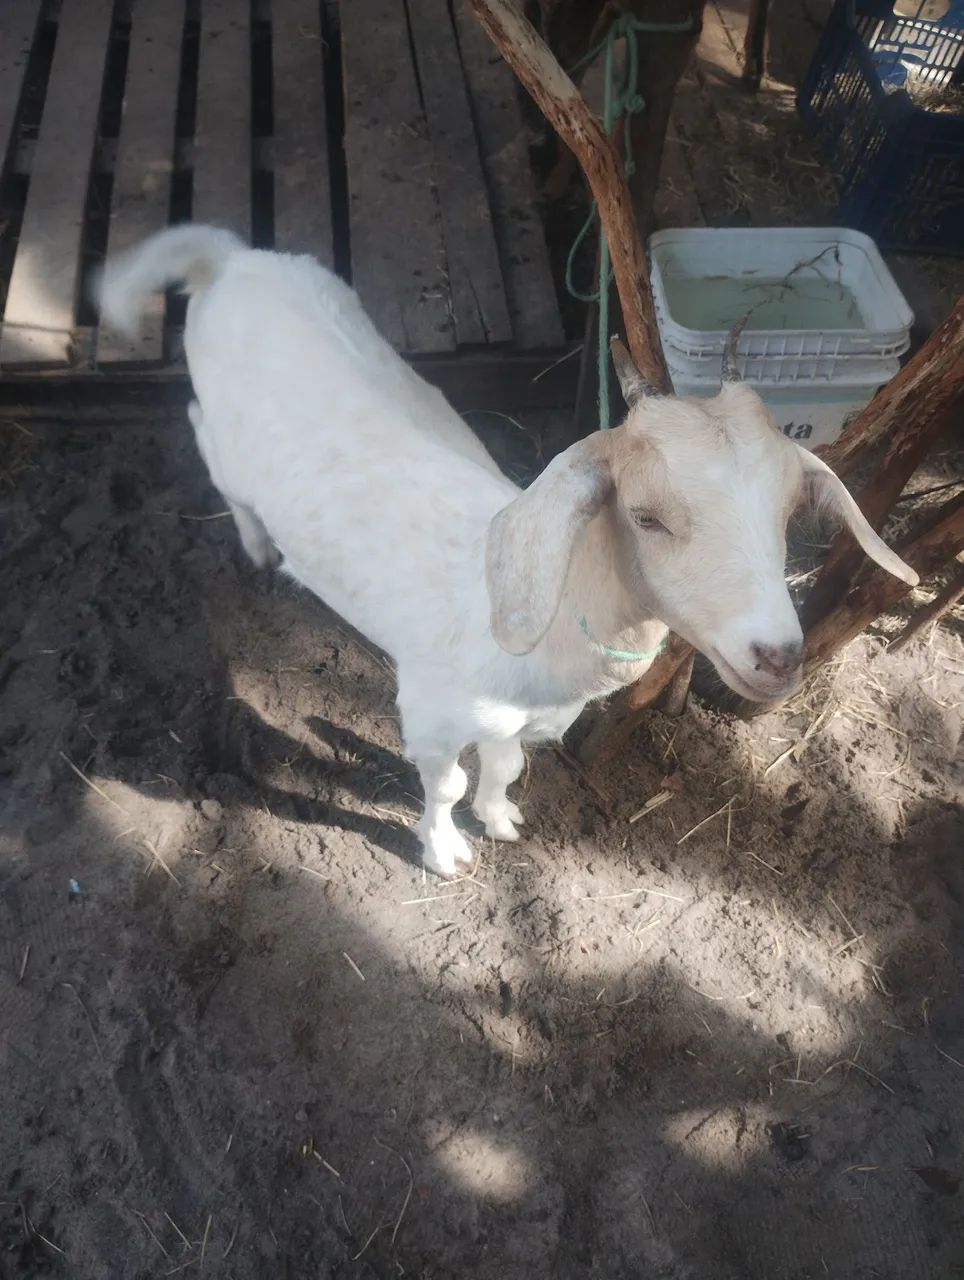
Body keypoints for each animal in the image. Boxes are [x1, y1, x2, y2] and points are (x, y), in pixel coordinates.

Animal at [96, 225, 917, 876]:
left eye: (787, 511)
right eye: (646, 516)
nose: (778, 656)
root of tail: (233, 261)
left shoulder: (516, 722)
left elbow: (507, 767)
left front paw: (500, 821)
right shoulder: (429, 711)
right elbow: (445, 785)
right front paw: (445, 851)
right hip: (224, 437)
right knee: (201, 431)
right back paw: (256, 542)